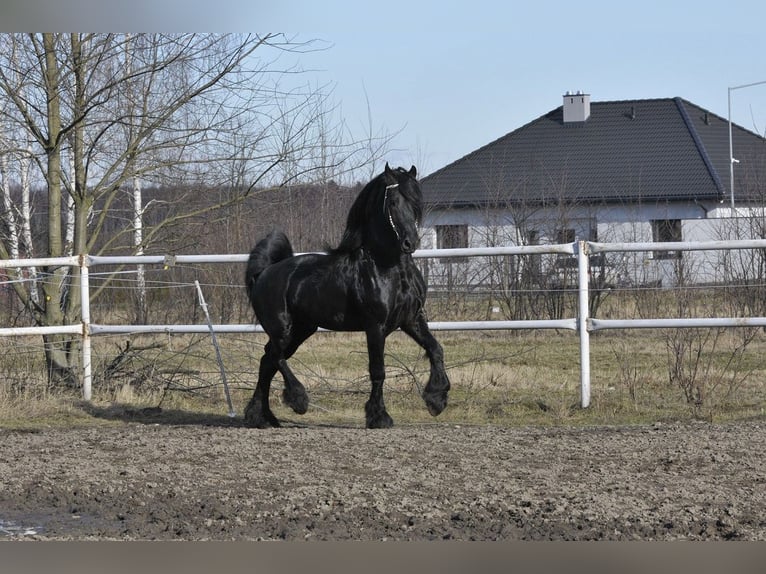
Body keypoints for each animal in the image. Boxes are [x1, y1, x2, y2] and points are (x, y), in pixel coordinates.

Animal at [244, 164, 450, 430]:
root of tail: (264, 273)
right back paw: (297, 400)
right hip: (282, 329)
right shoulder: (375, 326)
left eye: (416, 201)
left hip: (302, 330)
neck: (387, 267)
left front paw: (436, 400)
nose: (410, 242)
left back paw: (263, 417)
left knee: (267, 361)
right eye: (394, 202)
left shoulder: (411, 320)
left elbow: (436, 349)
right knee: (275, 357)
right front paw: (379, 417)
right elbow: (378, 370)